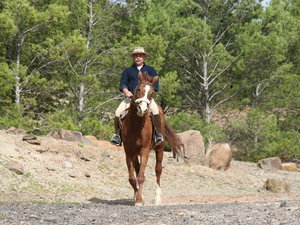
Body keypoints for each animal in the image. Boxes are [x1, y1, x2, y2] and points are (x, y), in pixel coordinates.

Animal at [121, 71, 183, 205]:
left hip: (159, 148)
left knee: (158, 170)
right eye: (138, 89)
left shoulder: (144, 151)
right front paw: (139, 197)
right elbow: (132, 178)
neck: (136, 125)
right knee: (138, 169)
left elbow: (141, 176)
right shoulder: (129, 153)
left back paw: (157, 199)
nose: (142, 109)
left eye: (152, 93)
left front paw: (139, 201)